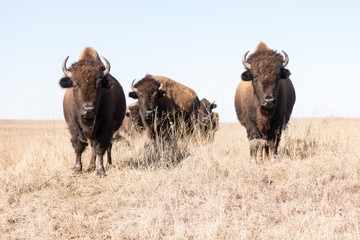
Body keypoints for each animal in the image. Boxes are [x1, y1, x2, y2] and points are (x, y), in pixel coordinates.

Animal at [59, 47, 126, 176]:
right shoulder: (73, 126)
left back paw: (107, 164)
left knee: (106, 146)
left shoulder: (105, 127)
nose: (88, 109)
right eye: (75, 84)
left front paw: (100, 171)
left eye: (99, 84)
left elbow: (100, 147)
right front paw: (77, 169)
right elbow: (78, 145)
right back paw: (90, 167)